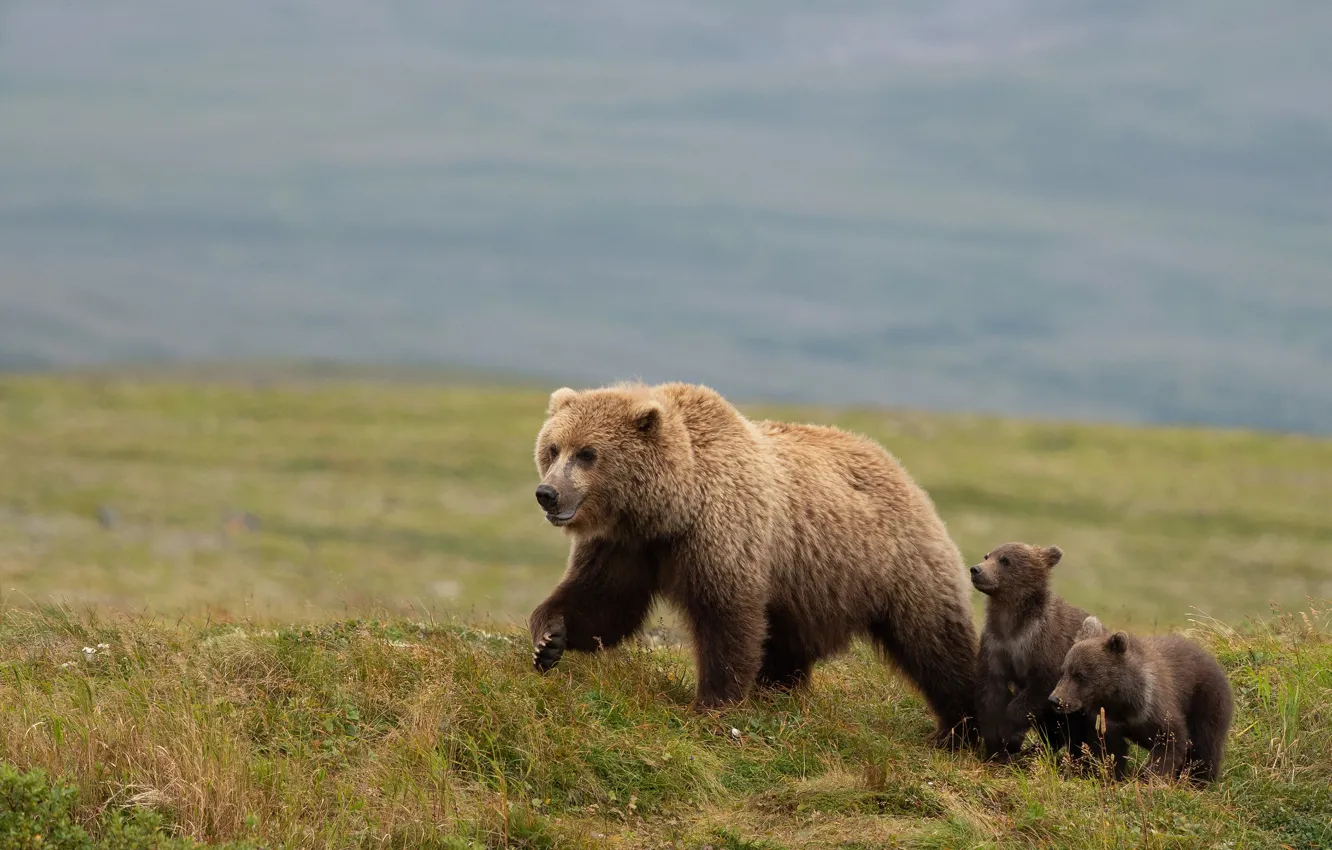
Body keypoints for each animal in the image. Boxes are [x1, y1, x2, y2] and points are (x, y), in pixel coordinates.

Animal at [525, 381, 980, 747]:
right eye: (553, 448)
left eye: (588, 453)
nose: (547, 493)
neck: (669, 509)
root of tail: (898, 467)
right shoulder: (625, 547)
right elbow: (603, 603)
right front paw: (549, 638)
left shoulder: (722, 533)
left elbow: (726, 618)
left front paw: (712, 704)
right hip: (808, 590)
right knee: (788, 644)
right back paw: (778, 691)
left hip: (895, 564)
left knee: (935, 641)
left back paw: (959, 728)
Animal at [970, 542, 1126, 770]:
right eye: (987, 555)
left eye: (1005, 560)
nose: (976, 570)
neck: (1013, 623)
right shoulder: (995, 644)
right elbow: (990, 691)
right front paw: (995, 747)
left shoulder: (1045, 646)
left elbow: (1039, 689)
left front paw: (1010, 736)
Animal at [1049, 616, 1234, 784]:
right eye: (1063, 671)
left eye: (1079, 675)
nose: (1055, 699)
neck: (1119, 701)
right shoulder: (1108, 721)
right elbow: (1110, 751)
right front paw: (1111, 776)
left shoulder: (1154, 710)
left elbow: (1170, 741)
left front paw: (1152, 778)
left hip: (1207, 701)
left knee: (1205, 746)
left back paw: (1199, 781)